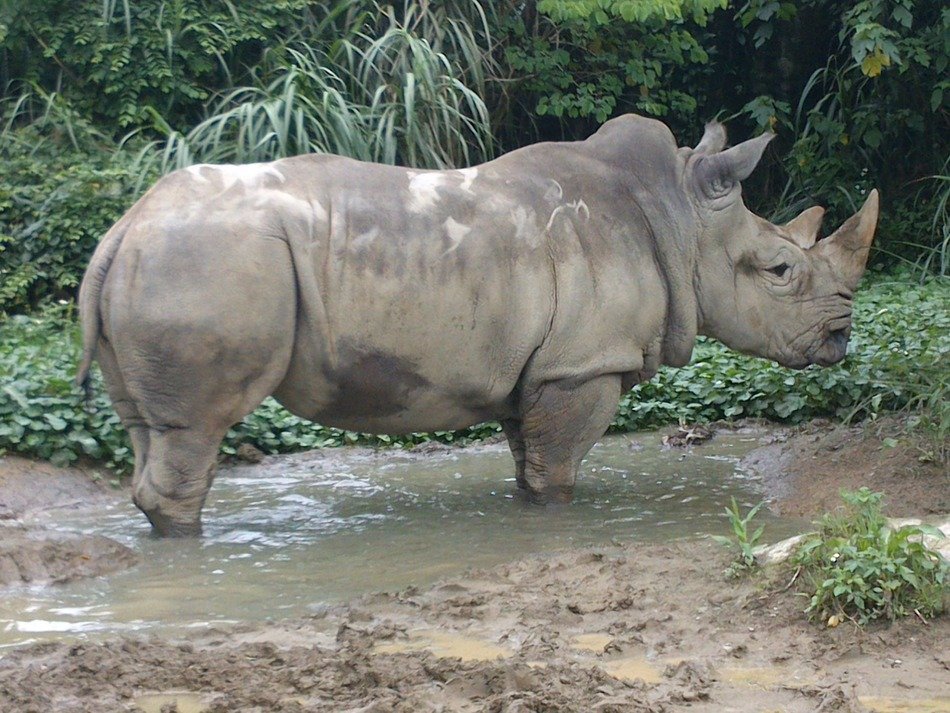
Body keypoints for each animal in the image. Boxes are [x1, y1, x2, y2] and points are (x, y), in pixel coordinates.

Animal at [76, 114, 879, 536]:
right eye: (780, 270)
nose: (842, 336)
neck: (679, 216)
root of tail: (123, 226)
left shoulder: (542, 365)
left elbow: (529, 462)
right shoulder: (582, 364)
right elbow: (558, 469)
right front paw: (556, 526)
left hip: (162, 263)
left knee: (150, 428)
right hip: (206, 262)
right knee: (196, 428)